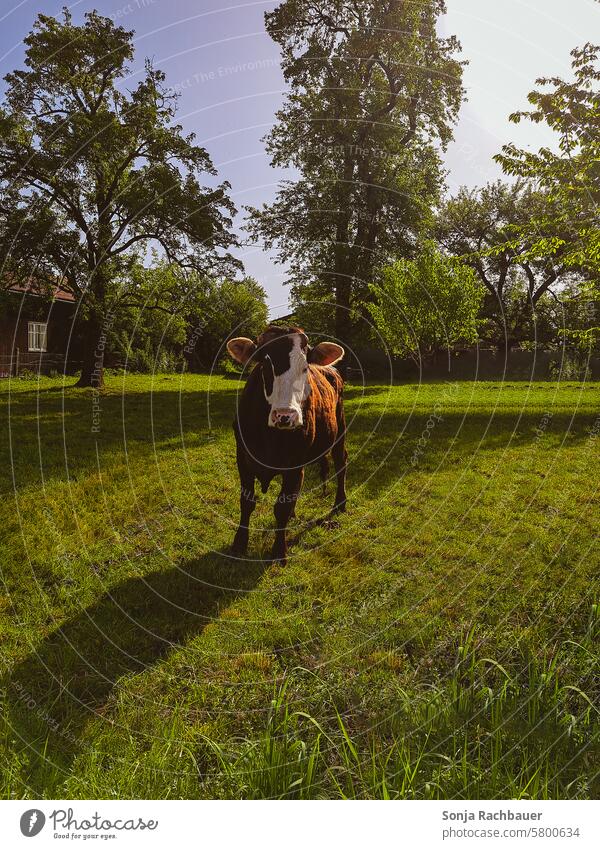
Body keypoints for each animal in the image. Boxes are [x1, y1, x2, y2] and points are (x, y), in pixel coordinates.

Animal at [225, 324, 346, 564]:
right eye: (264, 364)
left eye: (305, 367)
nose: (285, 416)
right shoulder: (242, 458)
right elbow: (247, 501)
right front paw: (239, 543)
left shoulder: (294, 464)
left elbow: (281, 507)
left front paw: (279, 551)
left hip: (340, 430)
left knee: (341, 464)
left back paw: (340, 503)